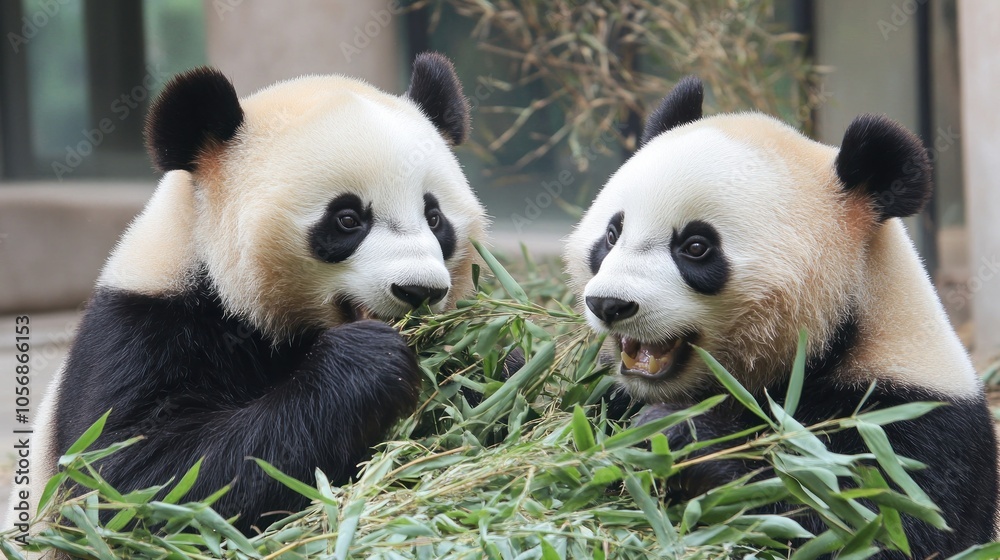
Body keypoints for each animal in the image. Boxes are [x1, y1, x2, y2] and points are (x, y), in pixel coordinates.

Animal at [8, 52, 486, 535]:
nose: (419, 289)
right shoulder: (141, 328)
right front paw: (370, 359)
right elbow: (134, 481)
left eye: (434, 217)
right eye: (347, 219)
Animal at [565, 76, 999, 557]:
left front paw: (678, 435)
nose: (609, 304)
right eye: (611, 233)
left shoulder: (909, 419)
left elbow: (867, 521)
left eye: (696, 246)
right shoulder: (612, 394)